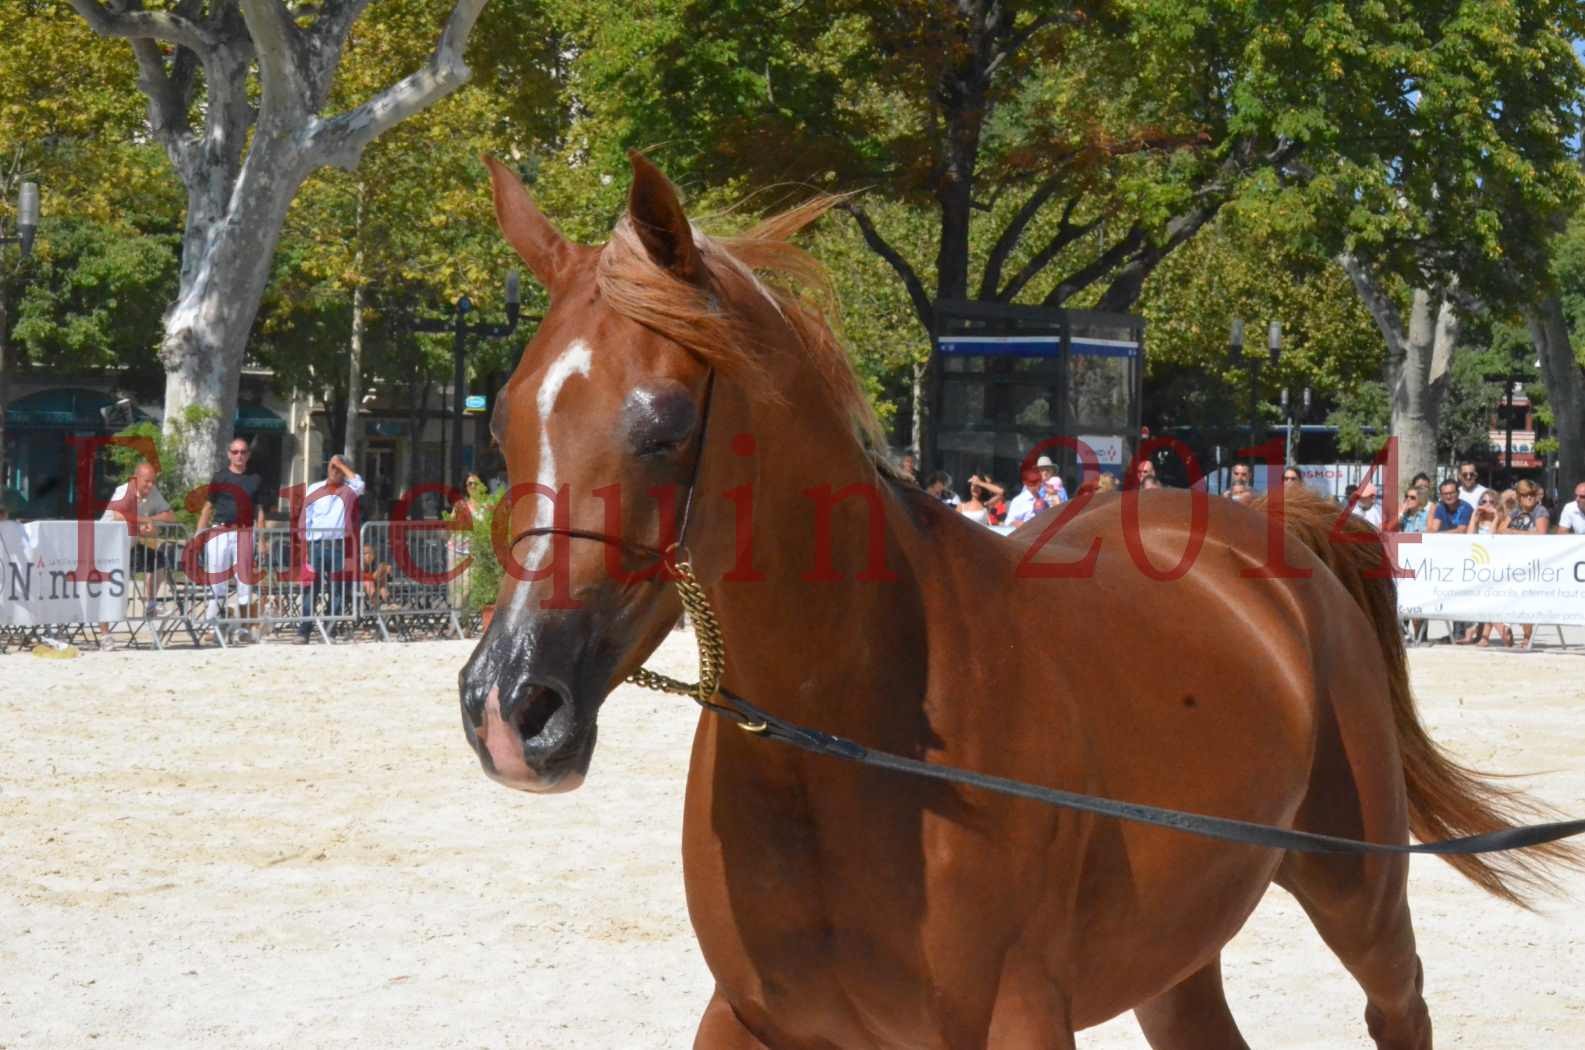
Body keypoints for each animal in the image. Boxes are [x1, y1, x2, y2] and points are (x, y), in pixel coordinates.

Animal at [462, 149, 1572, 1050]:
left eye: (663, 425)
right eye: (506, 420)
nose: (511, 706)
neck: (854, 738)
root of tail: (1264, 523)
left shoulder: (1015, 1016)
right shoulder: (750, 1018)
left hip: (1357, 889)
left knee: (1400, 1004)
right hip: (1178, 946)